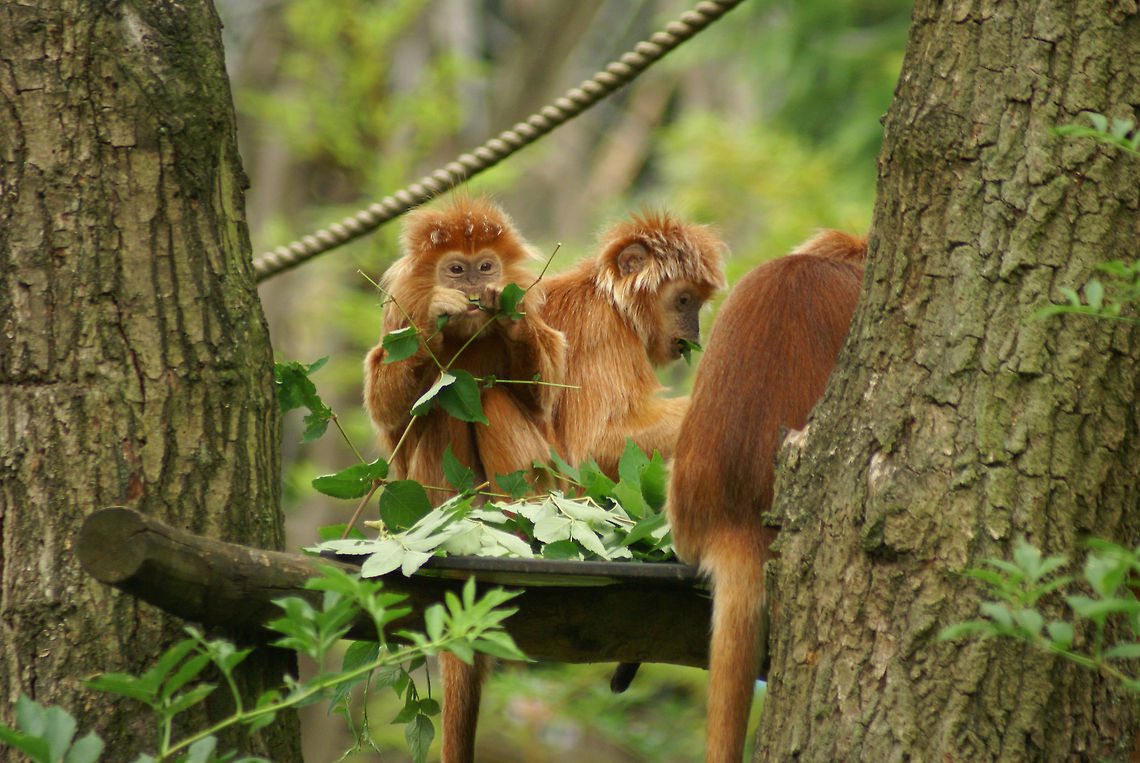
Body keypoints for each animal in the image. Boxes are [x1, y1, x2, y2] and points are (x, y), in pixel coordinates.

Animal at [362, 197, 567, 763]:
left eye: (486, 267)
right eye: (456, 270)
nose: (476, 288)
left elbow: (545, 390)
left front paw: (509, 319)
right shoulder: (398, 318)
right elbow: (387, 405)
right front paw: (439, 313)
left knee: (491, 393)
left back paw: (521, 527)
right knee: (444, 403)